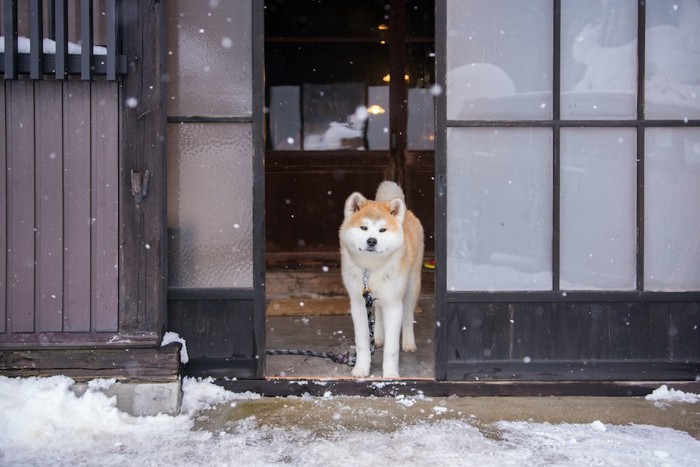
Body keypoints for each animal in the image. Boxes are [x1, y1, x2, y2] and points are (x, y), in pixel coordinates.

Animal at [338, 181, 424, 378]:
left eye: (382, 230)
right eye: (363, 228)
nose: (372, 241)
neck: (371, 269)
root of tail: (407, 213)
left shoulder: (393, 304)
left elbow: (391, 349)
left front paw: (391, 375)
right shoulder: (358, 303)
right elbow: (362, 343)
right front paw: (361, 369)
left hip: (411, 287)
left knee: (408, 316)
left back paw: (408, 343)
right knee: (377, 314)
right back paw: (377, 337)